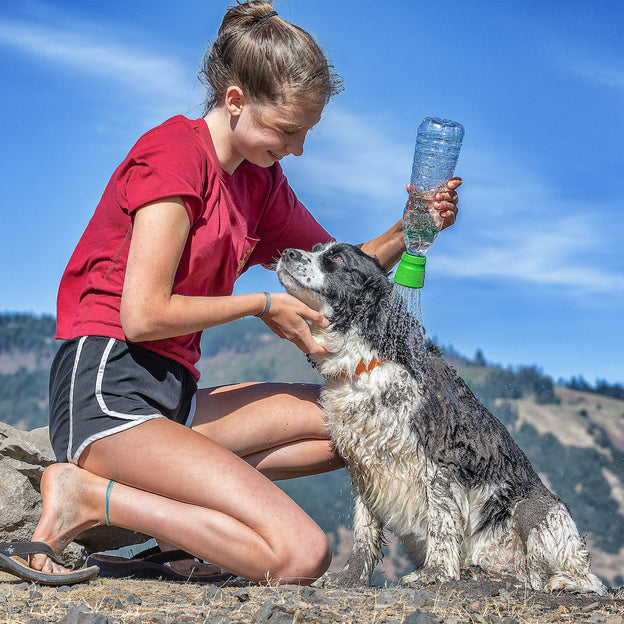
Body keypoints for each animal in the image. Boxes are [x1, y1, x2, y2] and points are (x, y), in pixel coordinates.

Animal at [276, 240, 604, 596]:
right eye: (315, 248)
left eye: (336, 258)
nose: (288, 253)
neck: (367, 364)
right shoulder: (364, 468)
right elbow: (365, 532)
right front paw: (348, 578)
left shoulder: (441, 459)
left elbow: (442, 520)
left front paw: (435, 572)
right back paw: (479, 572)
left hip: (538, 509)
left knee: (575, 576)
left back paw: (563, 581)